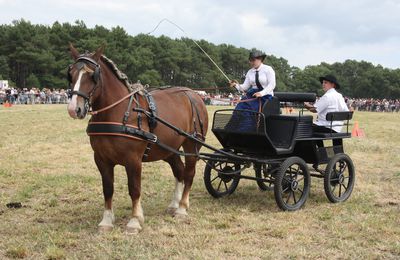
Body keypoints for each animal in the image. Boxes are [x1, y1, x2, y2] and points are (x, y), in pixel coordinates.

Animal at [66, 44, 209, 234]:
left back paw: (182, 208)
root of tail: (193, 94)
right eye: (71, 74)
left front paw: (134, 221)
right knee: (179, 171)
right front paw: (106, 221)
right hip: (168, 149)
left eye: (92, 75)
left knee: (189, 173)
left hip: (192, 145)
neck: (118, 112)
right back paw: (174, 204)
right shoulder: (101, 159)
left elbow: (134, 189)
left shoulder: (133, 159)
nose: (74, 109)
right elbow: (108, 189)